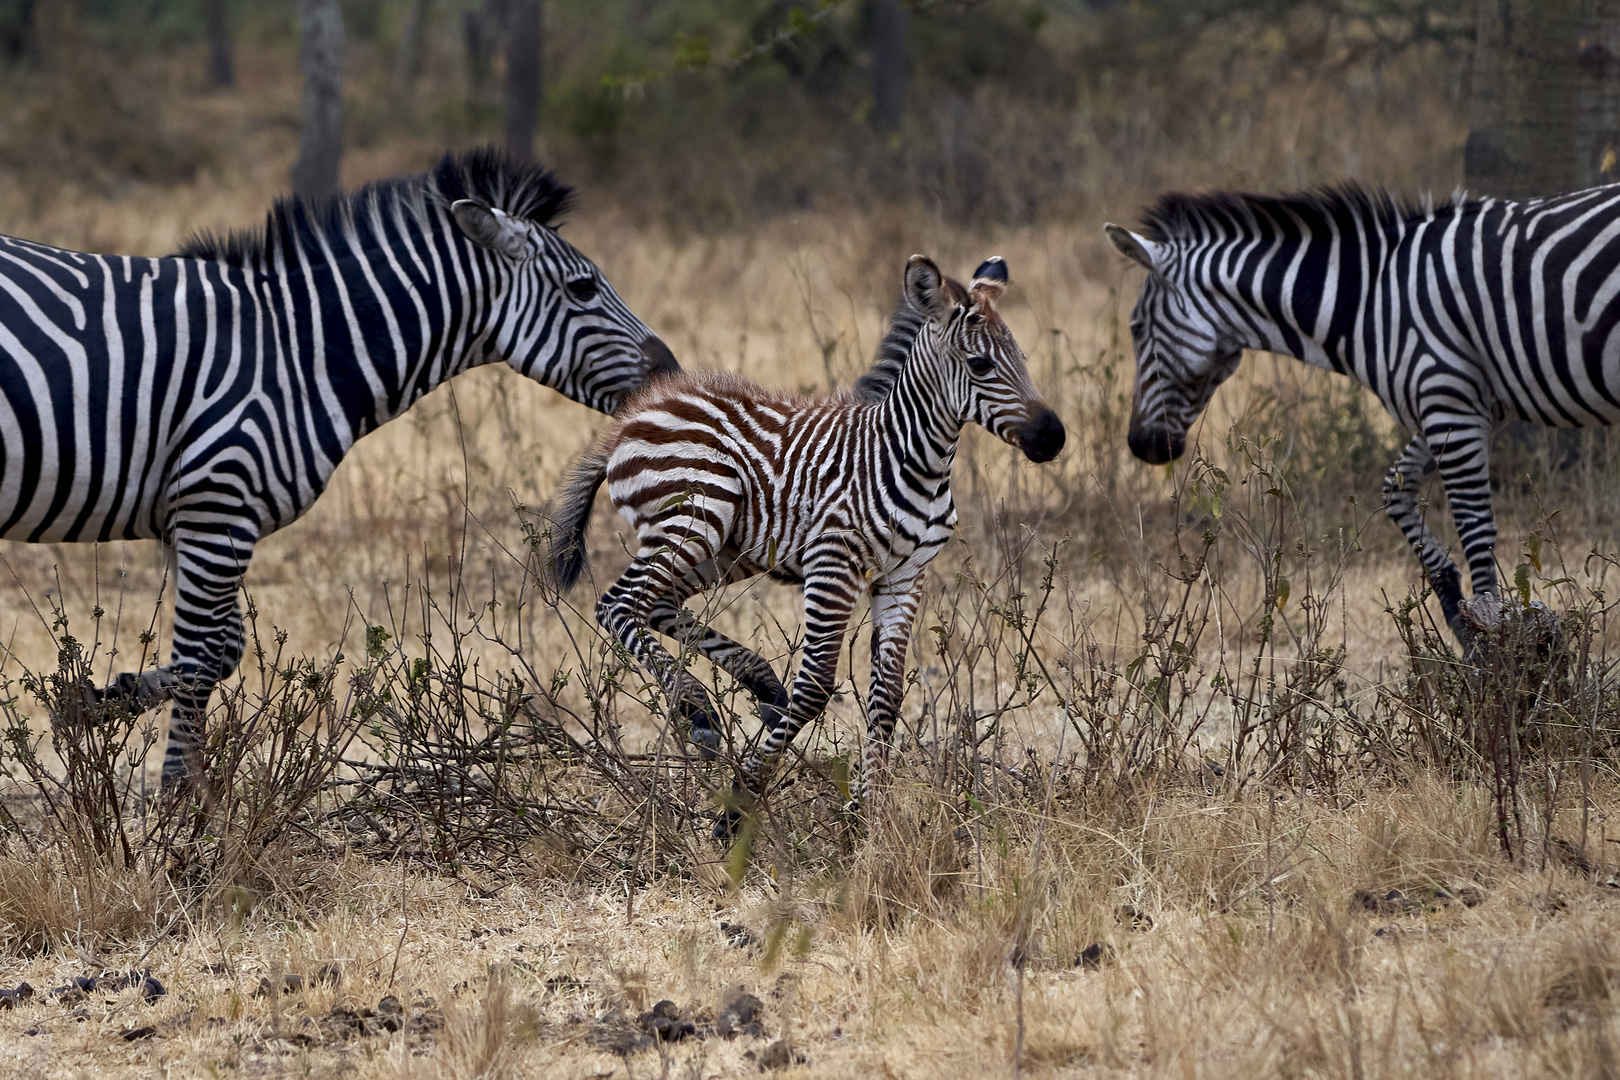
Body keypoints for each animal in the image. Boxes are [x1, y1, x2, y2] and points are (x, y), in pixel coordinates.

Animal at [0, 148, 677, 790]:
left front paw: (94, 702)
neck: (300, 350)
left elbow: (224, 648)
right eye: (583, 288)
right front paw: (180, 810)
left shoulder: (190, 515)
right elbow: (200, 658)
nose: (670, 370)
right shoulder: (218, 501)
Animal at [550, 255, 1069, 835]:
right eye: (979, 365)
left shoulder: (905, 576)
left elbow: (887, 697)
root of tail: (633, 417)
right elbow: (817, 686)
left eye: (1022, 359)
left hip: (722, 549)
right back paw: (698, 710)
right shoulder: (832, 564)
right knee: (619, 603)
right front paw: (739, 806)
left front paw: (863, 820)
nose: (1053, 438)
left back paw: (755, 686)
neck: (914, 458)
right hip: (696, 519)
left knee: (654, 603)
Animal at [1108, 186, 1620, 641]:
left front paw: (1492, 652)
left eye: (1136, 327)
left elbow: (1476, 533)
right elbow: (1395, 491)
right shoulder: (1460, 406)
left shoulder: (1446, 398)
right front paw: (1459, 622)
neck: (1367, 300)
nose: (1139, 445)